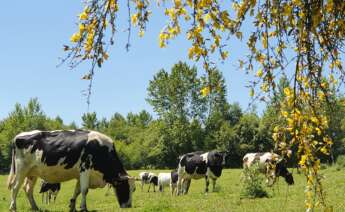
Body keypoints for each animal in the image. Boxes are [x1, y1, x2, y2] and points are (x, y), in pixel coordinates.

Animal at [6, 130, 135, 211]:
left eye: (133, 189)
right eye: (125, 187)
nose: (128, 206)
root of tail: (18, 136)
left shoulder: (80, 174)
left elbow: (77, 190)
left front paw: (72, 206)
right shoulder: (85, 169)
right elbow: (84, 190)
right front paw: (83, 208)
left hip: (32, 172)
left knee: (28, 189)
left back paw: (35, 207)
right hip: (21, 169)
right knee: (15, 187)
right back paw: (13, 207)